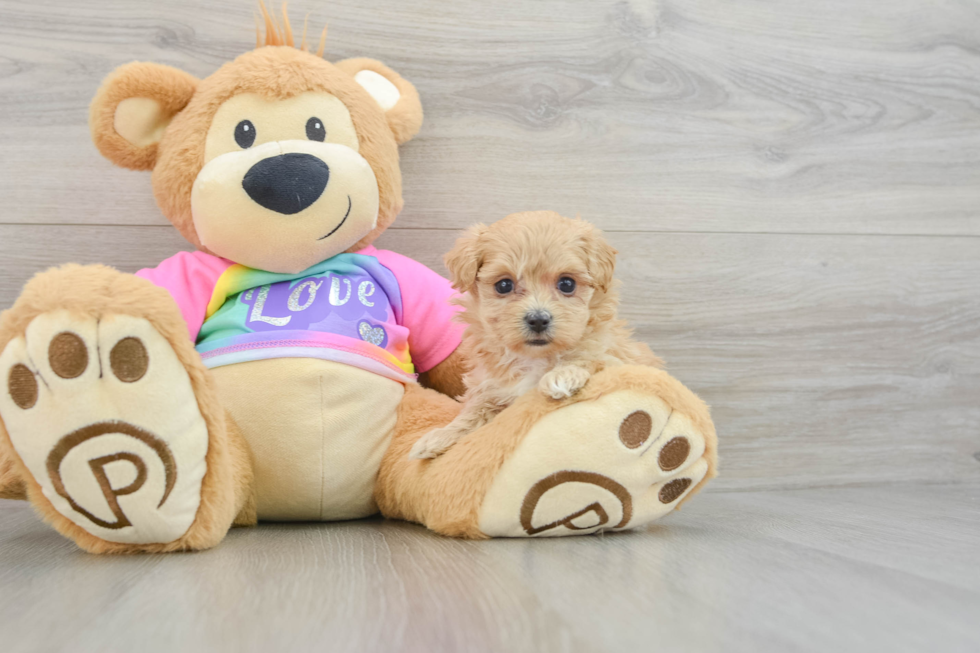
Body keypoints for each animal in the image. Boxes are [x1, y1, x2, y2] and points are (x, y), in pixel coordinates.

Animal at [410, 210, 664, 458]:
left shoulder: (619, 359)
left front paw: (563, 375)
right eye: (504, 285)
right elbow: (475, 410)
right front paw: (441, 437)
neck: (535, 358)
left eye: (567, 284)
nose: (538, 319)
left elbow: (592, 359)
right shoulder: (492, 388)